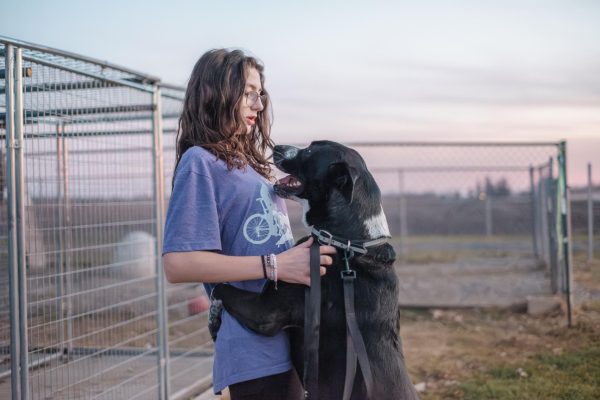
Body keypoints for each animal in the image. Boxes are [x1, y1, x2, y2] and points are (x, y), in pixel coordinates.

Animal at [213, 142, 420, 398]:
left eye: (311, 150)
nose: (276, 146)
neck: (347, 242)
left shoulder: (265, 312)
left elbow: (221, 288)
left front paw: (213, 315)